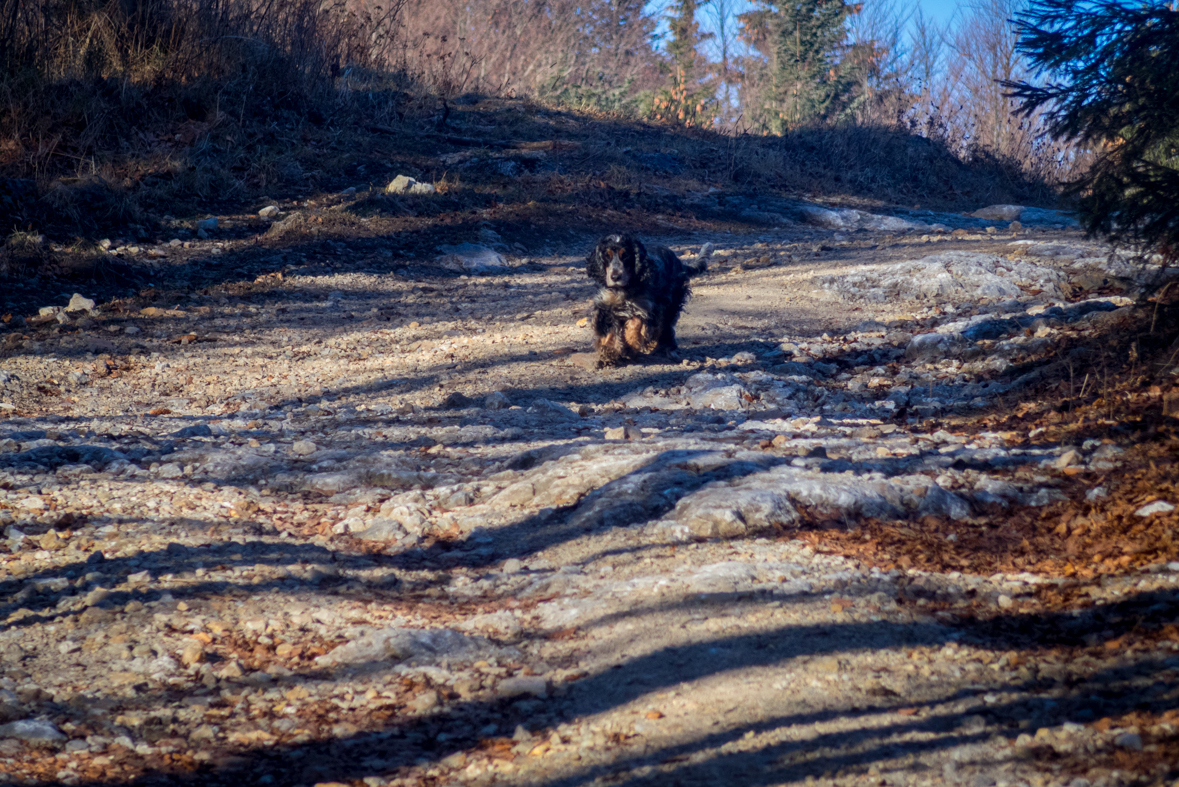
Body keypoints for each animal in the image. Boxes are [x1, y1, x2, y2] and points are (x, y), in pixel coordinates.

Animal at [582, 233, 702, 365]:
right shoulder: (605, 306)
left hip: (671, 303)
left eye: (626, 256)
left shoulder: (644, 307)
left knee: (666, 327)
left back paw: (667, 348)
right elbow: (608, 331)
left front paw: (630, 346)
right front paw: (609, 353)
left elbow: (636, 324)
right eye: (606, 256)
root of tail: (679, 262)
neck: (623, 289)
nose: (615, 277)